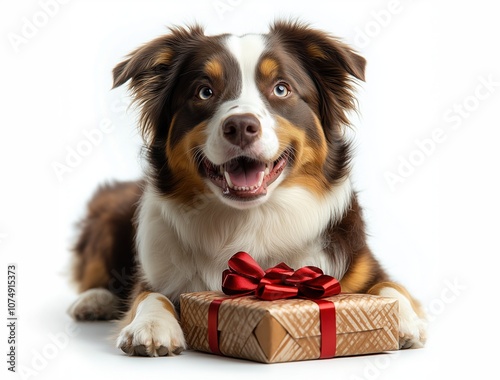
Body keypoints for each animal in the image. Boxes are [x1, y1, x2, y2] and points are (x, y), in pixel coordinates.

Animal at [67, 21, 426, 356]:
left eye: (281, 89)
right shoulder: (154, 272)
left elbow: (390, 285)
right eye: (204, 92)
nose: (240, 126)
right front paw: (153, 325)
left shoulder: (361, 264)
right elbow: (147, 294)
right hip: (110, 210)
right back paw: (93, 301)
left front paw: (404, 319)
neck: (251, 219)